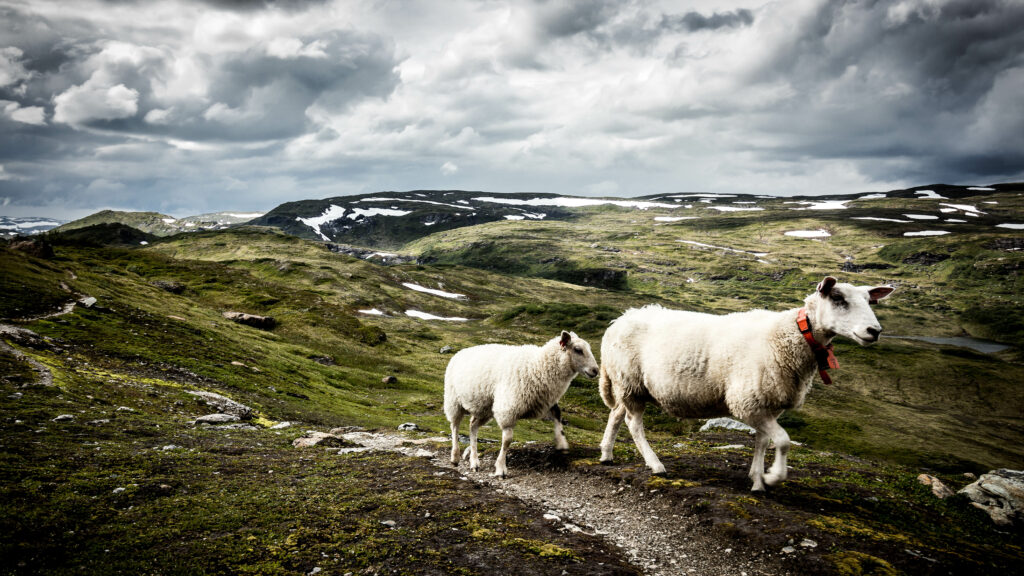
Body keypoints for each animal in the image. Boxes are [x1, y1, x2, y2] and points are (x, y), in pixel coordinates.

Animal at [442, 330, 598, 473]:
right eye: (578, 350)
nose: (595, 370)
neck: (538, 366)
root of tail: (460, 352)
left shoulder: (544, 401)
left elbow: (557, 415)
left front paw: (562, 443)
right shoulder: (508, 408)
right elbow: (507, 440)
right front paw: (501, 468)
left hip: (483, 407)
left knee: (472, 426)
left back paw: (474, 462)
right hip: (453, 401)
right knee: (454, 427)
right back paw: (455, 457)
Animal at [598, 276, 892, 487]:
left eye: (870, 301)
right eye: (838, 298)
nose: (874, 331)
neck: (792, 335)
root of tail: (619, 319)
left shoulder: (768, 403)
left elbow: (762, 441)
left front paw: (757, 478)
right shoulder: (747, 402)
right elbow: (783, 440)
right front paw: (773, 476)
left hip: (627, 385)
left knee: (615, 414)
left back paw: (606, 455)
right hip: (630, 383)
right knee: (633, 423)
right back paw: (656, 465)